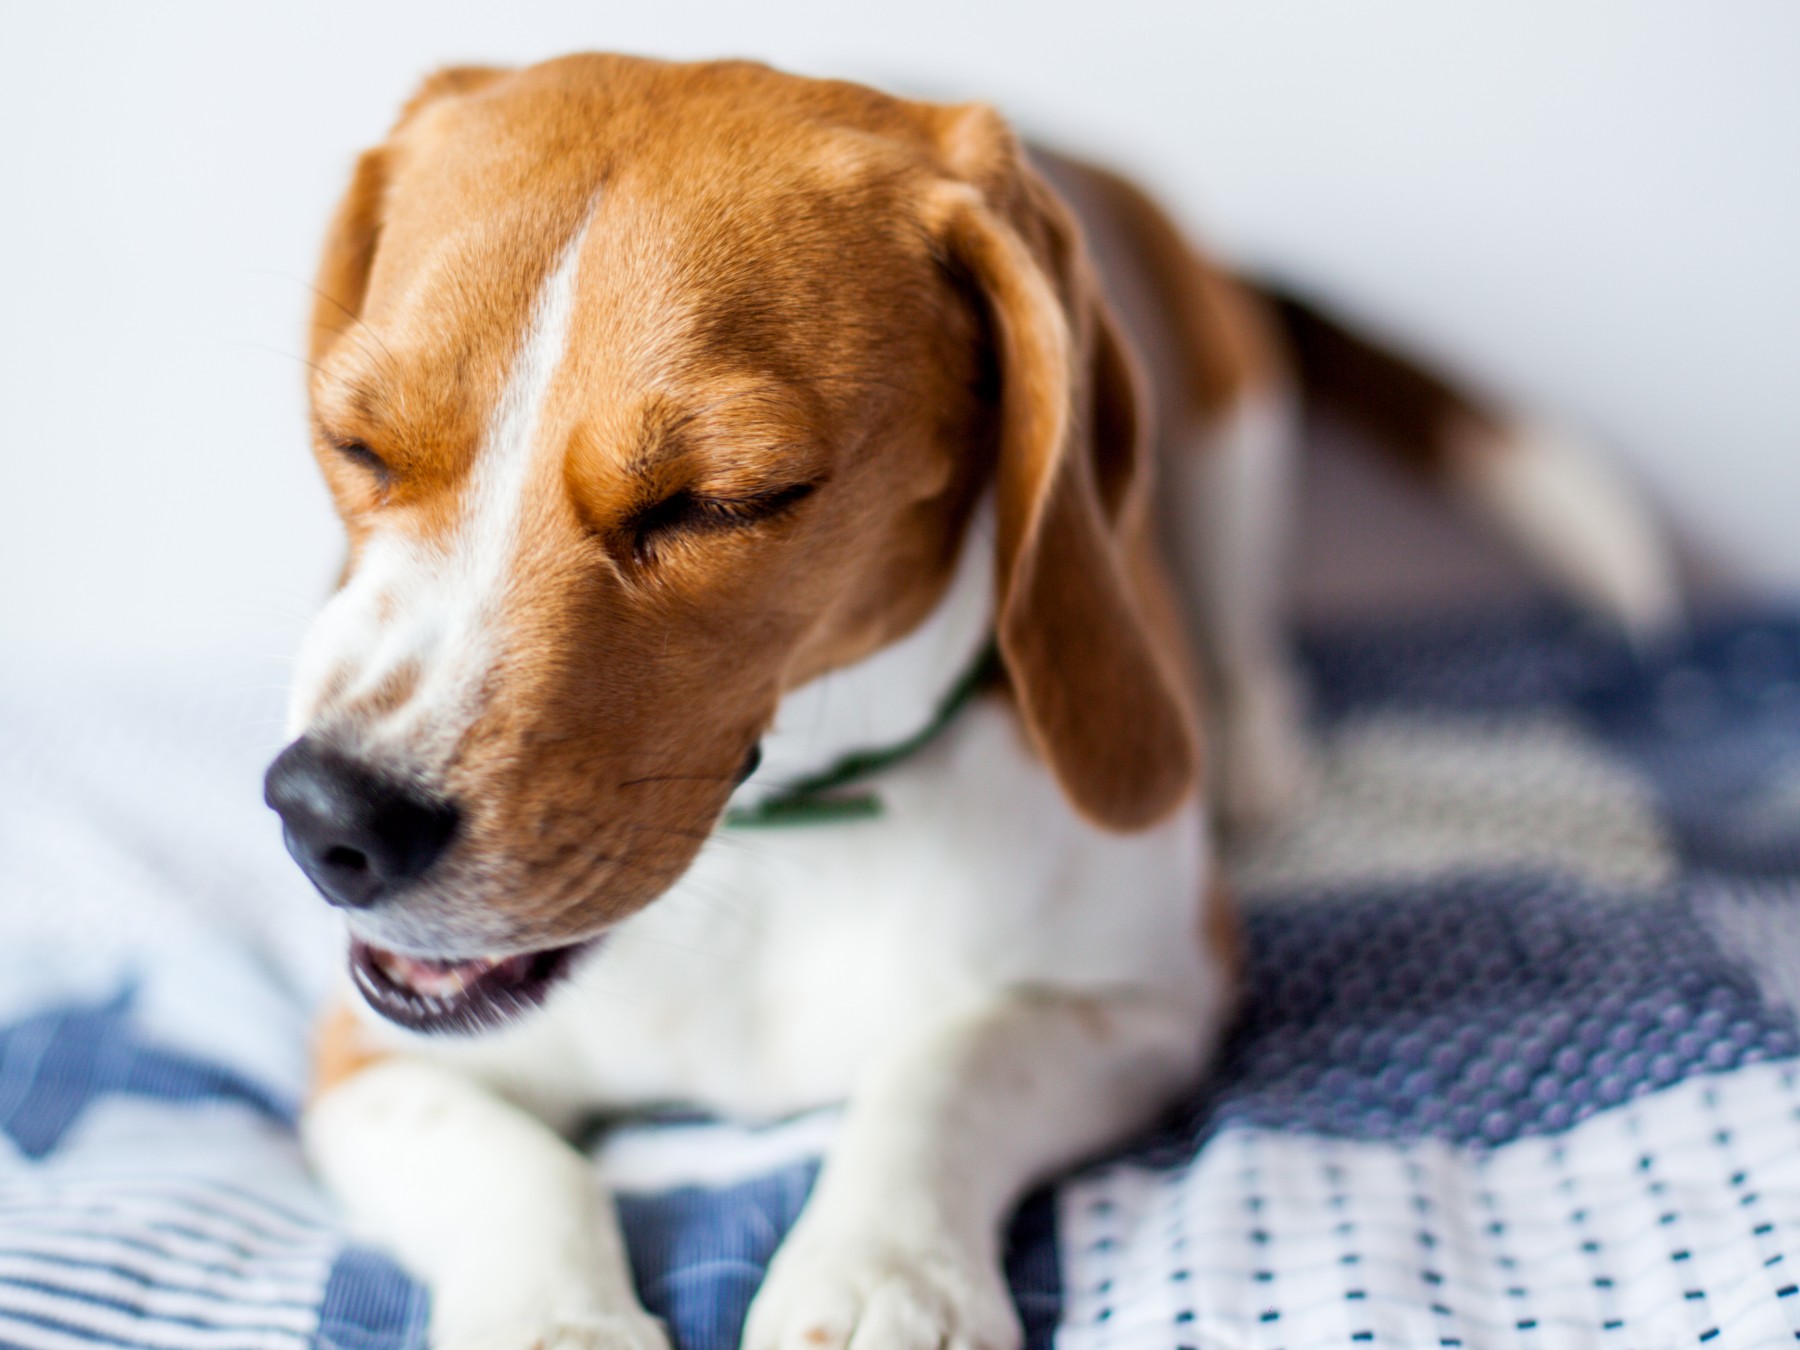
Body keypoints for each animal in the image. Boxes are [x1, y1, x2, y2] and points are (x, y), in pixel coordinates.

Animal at [262, 52, 1670, 1350]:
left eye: (724, 501)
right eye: (355, 442)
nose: (330, 818)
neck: (780, 845)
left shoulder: (1151, 1002)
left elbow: (943, 1068)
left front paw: (882, 1279)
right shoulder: (368, 1061)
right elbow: (521, 1175)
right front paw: (555, 1321)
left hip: (1235, 428)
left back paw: (1255, 745)